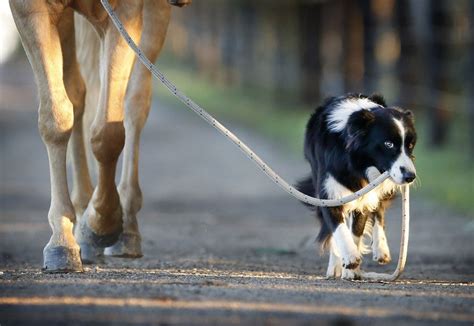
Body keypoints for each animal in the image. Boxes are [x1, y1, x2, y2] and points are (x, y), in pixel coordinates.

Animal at [298, 93, 416, 278]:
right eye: (388, 144)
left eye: (410, 145)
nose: (410, 177)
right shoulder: (328, 193)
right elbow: (338, 228)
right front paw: (349, 258)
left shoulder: (364, 195)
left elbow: (357, 230)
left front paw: (350, 270)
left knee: (379, 211)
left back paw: (381, 250)